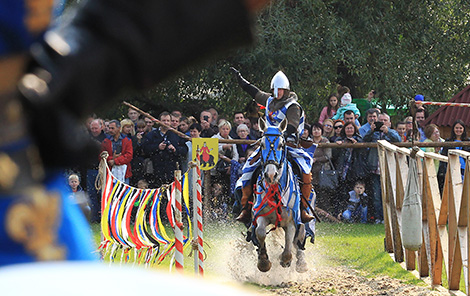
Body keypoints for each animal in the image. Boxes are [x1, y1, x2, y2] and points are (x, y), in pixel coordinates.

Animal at [250, 118, 308, 272]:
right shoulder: (260, 216)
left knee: (300, 237)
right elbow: (260, 232)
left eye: (281, 145)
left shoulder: (291, 222)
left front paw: (285, 260)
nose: (271, 175)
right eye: (262, 144)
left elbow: (288, 246)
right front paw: (263, 261)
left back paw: (301, 263)